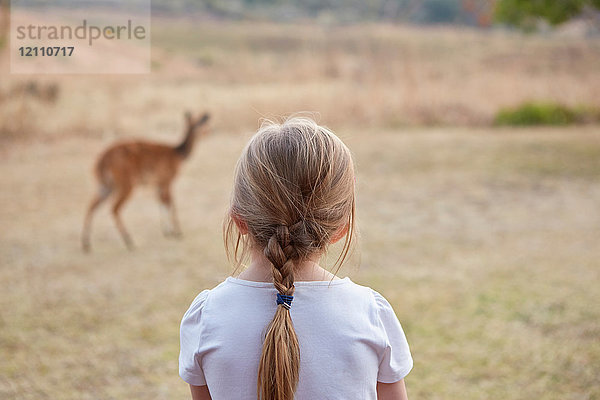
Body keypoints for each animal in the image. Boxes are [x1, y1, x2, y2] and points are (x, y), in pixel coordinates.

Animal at [79, 111, 211, 252]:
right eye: (202, 125)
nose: (209, 131)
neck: (177, 154)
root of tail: (101, 162)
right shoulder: (167, 180)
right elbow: (170, 203)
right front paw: (177, 233)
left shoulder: (158, 183)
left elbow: (161, 202)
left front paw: (167, 232)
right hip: (126, 184)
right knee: (114, 208)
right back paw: (129, 242)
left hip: (105, 185)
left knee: (91, 206)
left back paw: (86, 244)